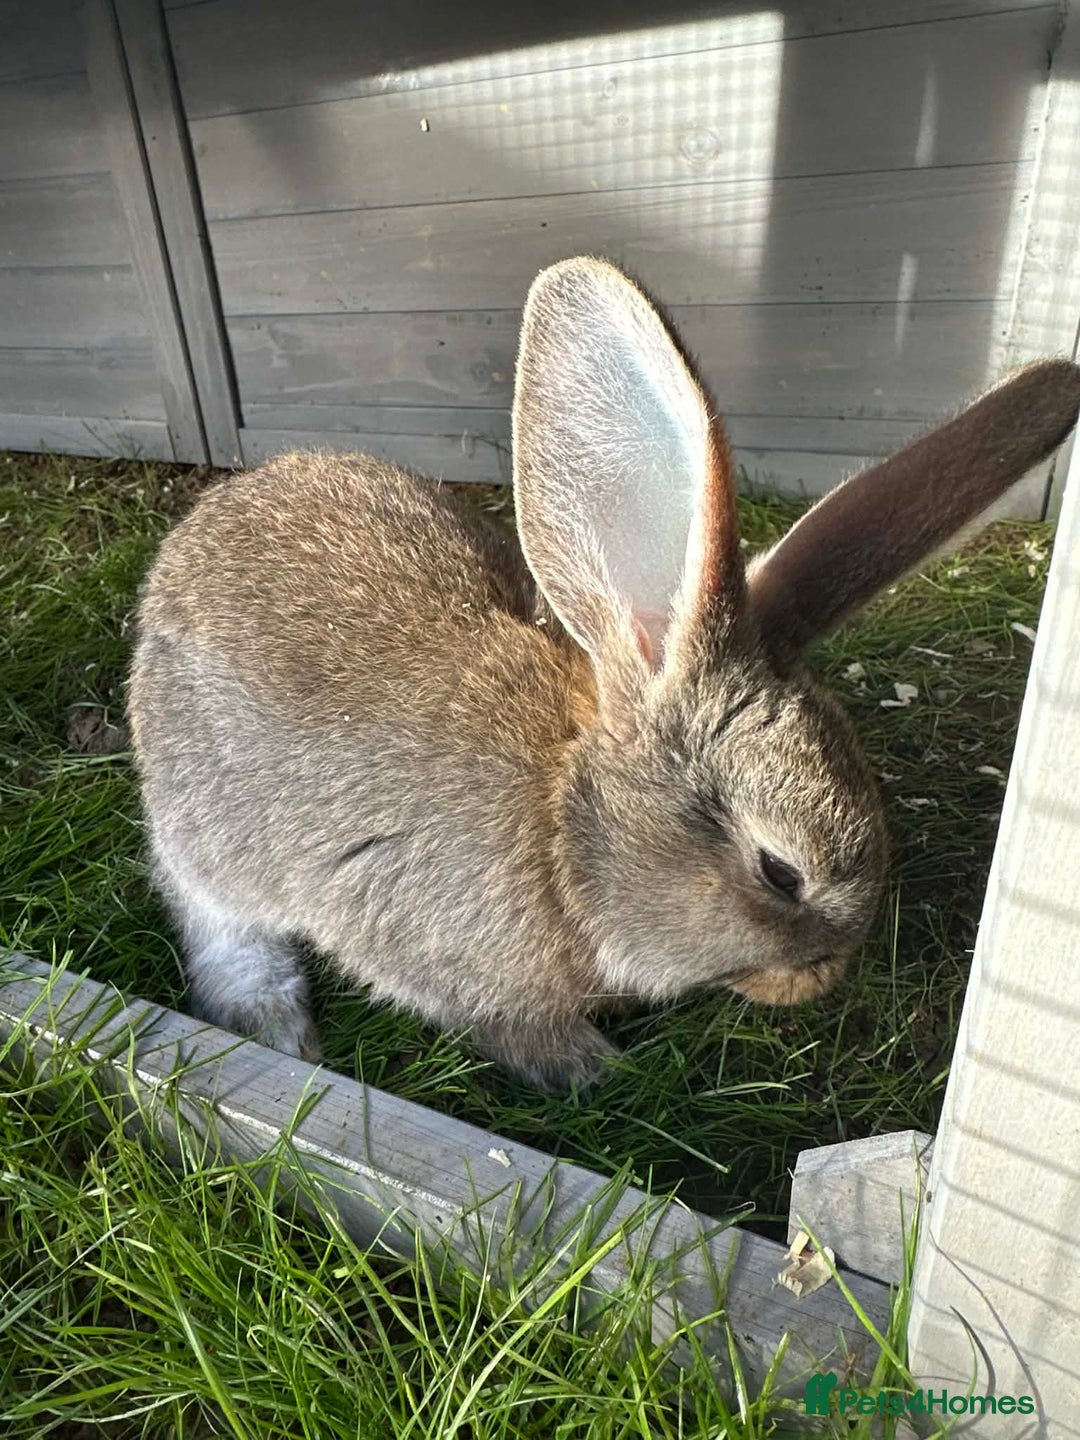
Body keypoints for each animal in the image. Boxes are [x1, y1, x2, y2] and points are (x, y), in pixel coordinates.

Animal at [128, 256, 1080, 1092]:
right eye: (780, 871)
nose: (821, 977)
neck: (563, 835)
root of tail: (188, 541)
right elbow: (500, 1020)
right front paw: (588, 1065)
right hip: (202, 820)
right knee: (206, 906)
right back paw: (271, 1019)